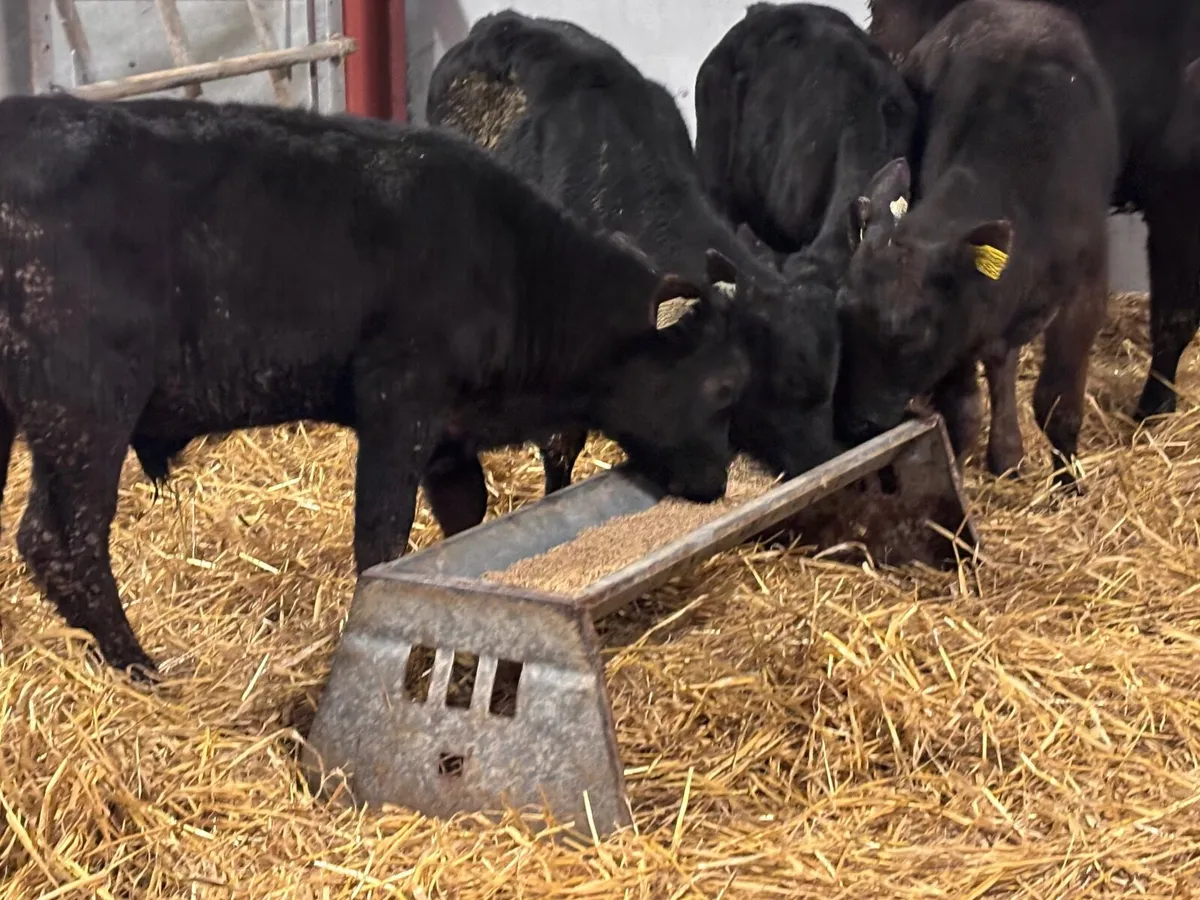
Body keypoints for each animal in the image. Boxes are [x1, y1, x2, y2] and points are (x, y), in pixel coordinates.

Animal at [0, 92, 750, 676]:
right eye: (721, 387)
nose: (717, 481)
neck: (510, 264)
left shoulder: (448, 436)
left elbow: (463, 520)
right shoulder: (399, 406)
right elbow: (382, 537)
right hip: (85, 413)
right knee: (64, 541)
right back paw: (141, 666)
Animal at [834, 0, 1120, 491]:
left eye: (908, 331)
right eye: (841, 315)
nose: (856, 423)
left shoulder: (1086, 289)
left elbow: (1058, 403)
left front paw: (1068, 482)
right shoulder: (961, 329)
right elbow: (962, 412)